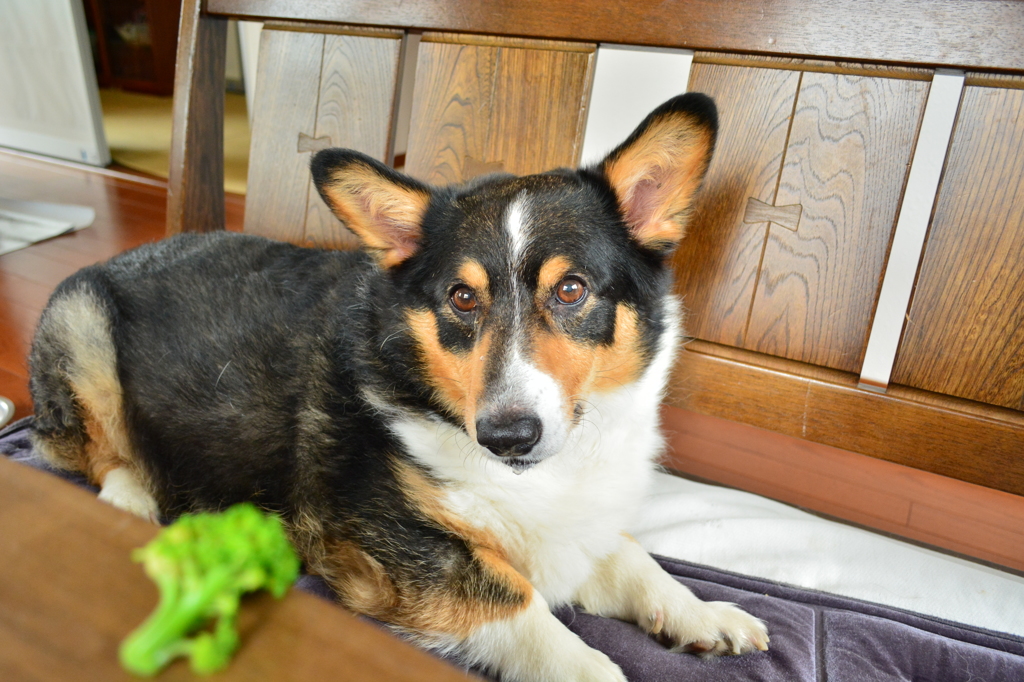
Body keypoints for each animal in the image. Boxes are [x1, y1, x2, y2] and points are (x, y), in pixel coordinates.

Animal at [28, 93, 770, 675]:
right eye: (462, 299)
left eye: (571, 289)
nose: (506, 437)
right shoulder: (388, 546)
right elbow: (517, 602)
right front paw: (590, 664)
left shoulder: (580, 529)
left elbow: (634, 559)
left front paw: (706, 614)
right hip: (80, 323)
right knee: (96, 451)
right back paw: (130, 502)